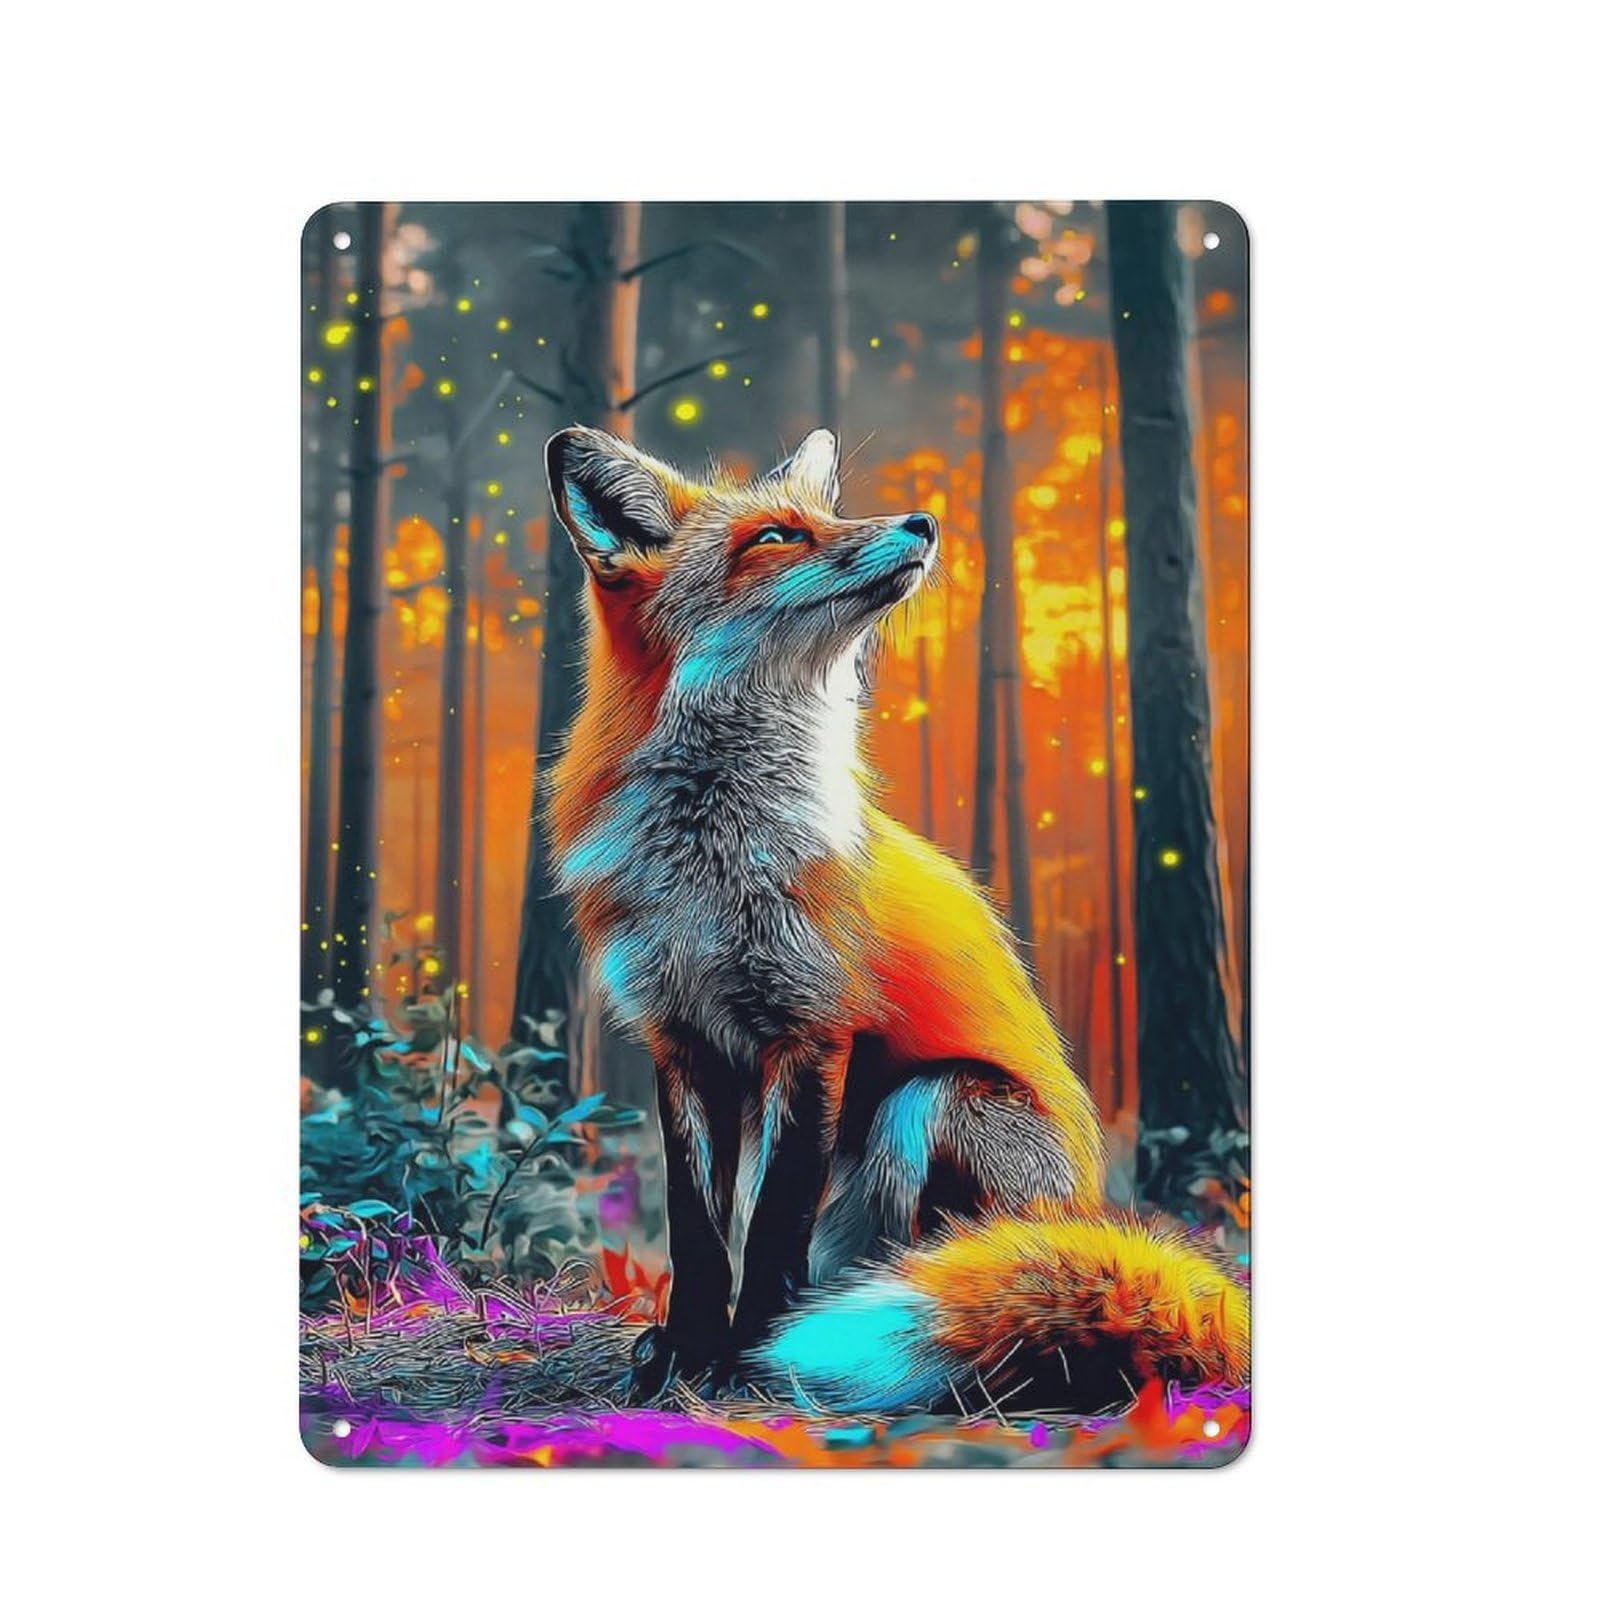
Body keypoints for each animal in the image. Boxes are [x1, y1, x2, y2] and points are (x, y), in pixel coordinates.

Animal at [543, 423, 1249, 1413]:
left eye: (829, 515)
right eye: (775, 537)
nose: (923, 520)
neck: (713, 861)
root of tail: (1084, 1205)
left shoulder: (812, 1030)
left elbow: (771, 1225)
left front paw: (752, 1359)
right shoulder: (679, 1039)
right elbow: (696, 1230)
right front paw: (686, 1355)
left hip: (932, 1100)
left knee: (951, 1260)